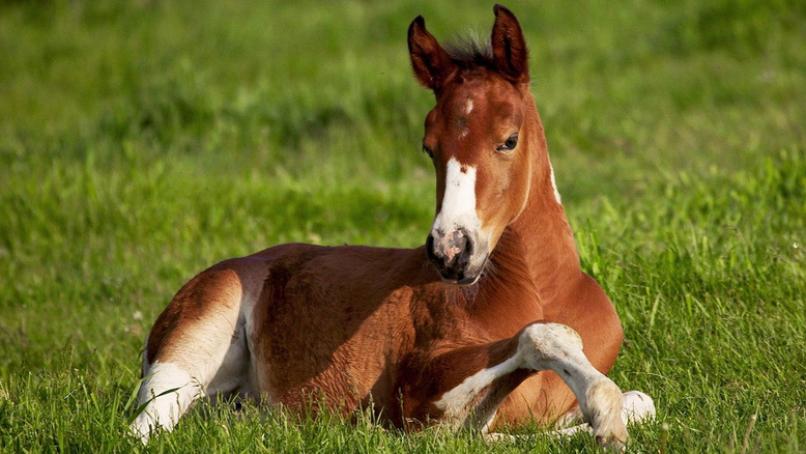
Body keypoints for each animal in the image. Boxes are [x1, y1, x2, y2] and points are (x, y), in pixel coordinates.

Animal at [131, 4, 656, 450]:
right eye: (429, 147)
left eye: (509, 140)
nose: (450, 250)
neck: (541, 290)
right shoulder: (418, 393)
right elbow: (536, 342)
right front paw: (603, 415)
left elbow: (641, 402)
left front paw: (602, 423)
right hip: (190, 347)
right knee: (145, 428)